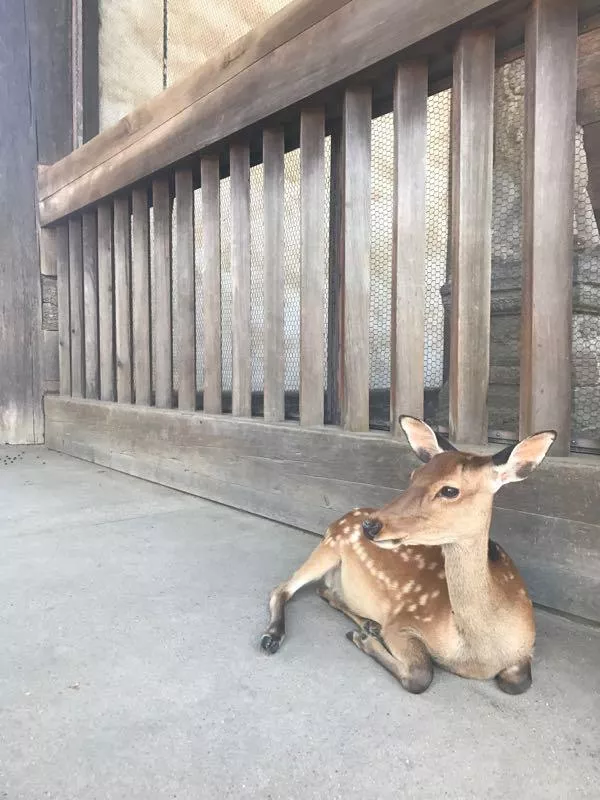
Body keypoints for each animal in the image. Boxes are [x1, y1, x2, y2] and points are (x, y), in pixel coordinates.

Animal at [260, 418, 556, 692]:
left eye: (450, 490)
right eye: (414, 474)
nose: (370, 525)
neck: (478, 653)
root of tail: (345, 516)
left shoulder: (524, 651)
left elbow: (518, 682)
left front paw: (367, 635)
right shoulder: (404, 620)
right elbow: (420, 675)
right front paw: (365, 640)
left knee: (323, 591)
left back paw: (368, 624)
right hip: (329, 546)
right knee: (282, 588)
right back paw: (273, 636)